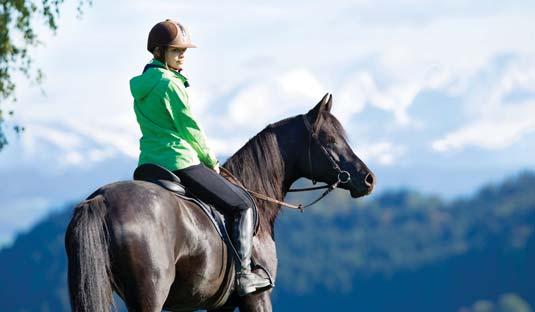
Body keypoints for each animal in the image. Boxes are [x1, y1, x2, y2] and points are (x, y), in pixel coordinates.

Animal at [65, 93, 374, 312]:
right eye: (330, 140)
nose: (368, 179)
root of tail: (101, 200)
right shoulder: (257, 299)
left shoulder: (220, 306)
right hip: (149, 296)